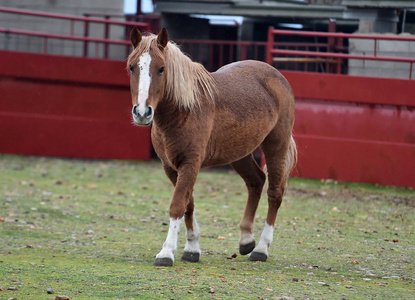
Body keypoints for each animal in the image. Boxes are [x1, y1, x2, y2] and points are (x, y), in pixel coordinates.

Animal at [128, 27, 298, 268]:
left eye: (161, 68)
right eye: (132, 67)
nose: (142, 112)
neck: (184, 110)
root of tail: (277, 76)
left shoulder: (190, 163)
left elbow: (177, 205)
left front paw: (167, 252)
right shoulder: (171, 167)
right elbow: (188, 204)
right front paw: (192, 248)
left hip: (277, 144)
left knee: (274, 193)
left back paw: (261, 248)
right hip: (239, 152)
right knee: (256, 181)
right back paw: (246, 239)